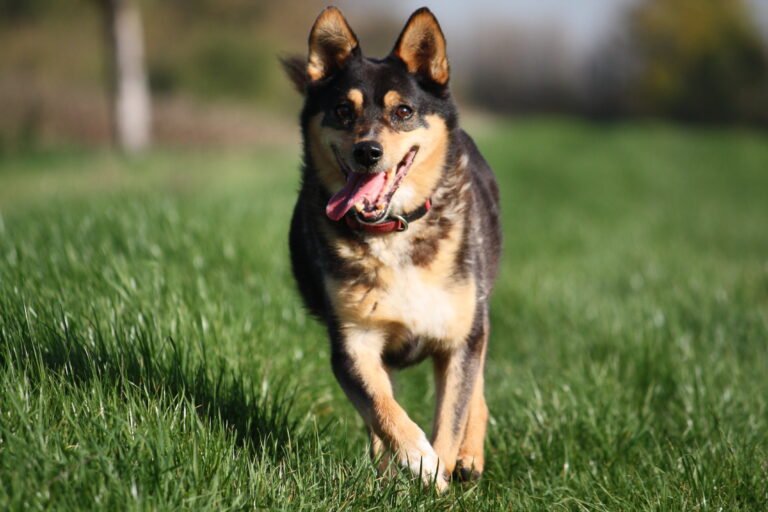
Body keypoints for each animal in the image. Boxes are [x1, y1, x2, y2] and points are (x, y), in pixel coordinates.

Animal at [283, 6, 501, 492]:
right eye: (342, 110)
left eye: (403, 111)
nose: (368, 151)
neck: (393, 233)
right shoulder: (353, 343)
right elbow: (382, 409)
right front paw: (417, 461)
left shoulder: (459, 337)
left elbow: (452, 416)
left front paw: (440, 475)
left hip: (477, 311)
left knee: (477, 388)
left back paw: (470, 458)